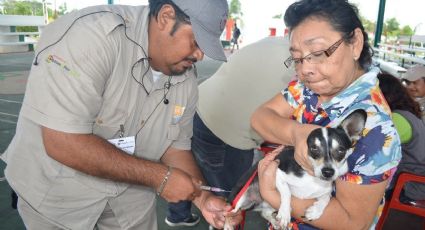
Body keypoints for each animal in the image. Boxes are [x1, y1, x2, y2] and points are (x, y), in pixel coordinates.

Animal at [224, 108, 366, 229]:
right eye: (314, 148)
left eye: (341, 150)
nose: (328, 172)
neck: (312, 178)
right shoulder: (277, 173)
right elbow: (286, 192)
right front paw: (285, 213)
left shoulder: (326, 189)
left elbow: (327, 197)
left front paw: (315, 211)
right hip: (240, 199)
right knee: (229, 213)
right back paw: (229, 224)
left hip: (267, 205)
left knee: (264, 213)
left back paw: (275, 222)